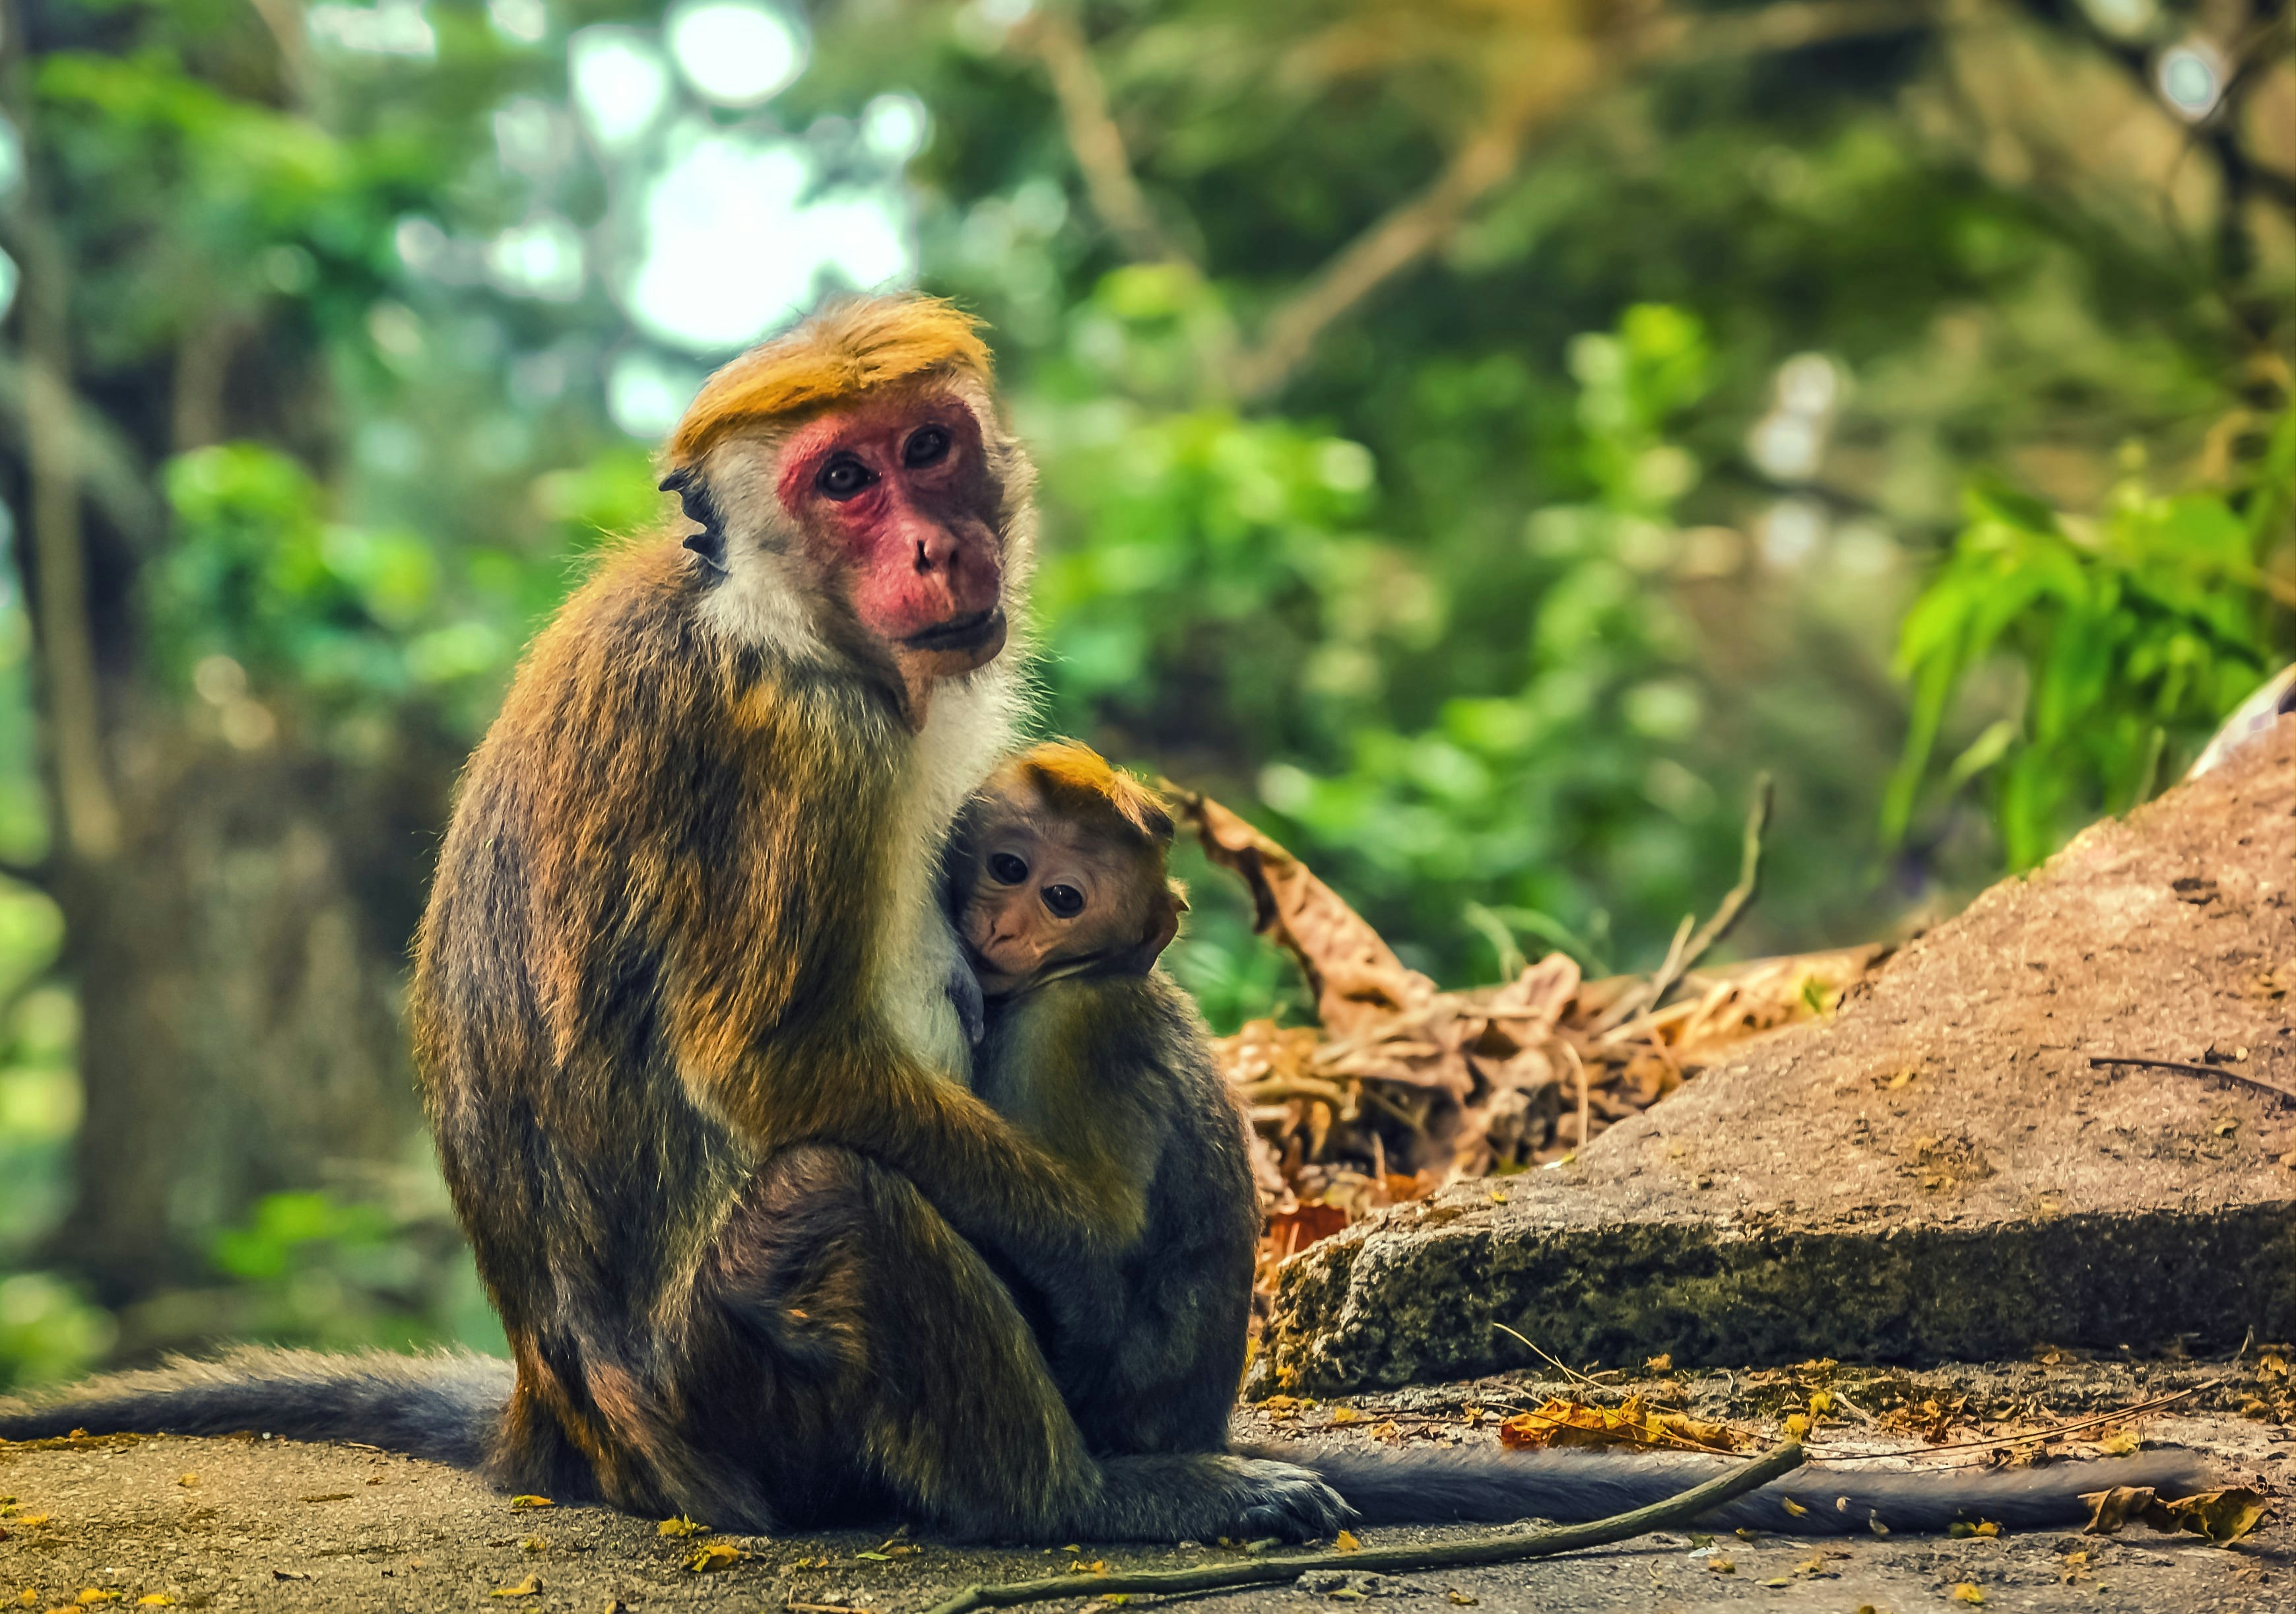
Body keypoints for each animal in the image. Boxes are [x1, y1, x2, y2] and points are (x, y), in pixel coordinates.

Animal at [0, 295, 2211, 1542]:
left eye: (929, 446)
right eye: (839, 477)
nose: (928, 541)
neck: (772, 611)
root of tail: (576, 1437)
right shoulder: (801, 734)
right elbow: (783, 1061)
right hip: (745, 1423)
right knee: (848, 1185)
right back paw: (1089, 1493)